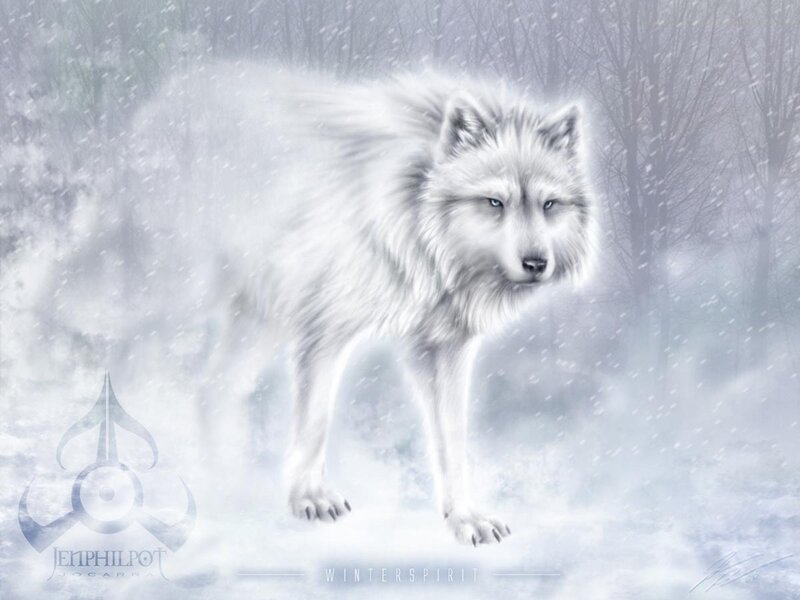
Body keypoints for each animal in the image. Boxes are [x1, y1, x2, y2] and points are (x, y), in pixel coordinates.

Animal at [113, 64, 597, 546]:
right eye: (495, 202)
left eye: (549, 204)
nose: (536, 263)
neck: (415, 227)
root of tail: (162, 99)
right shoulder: (324, 330)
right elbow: (315, 423)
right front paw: (309, 498)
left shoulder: (444, 348)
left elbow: (453, 441)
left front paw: (464, 519)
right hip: (177, 293)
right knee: (122, 346)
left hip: (261, 318)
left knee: (212, 388)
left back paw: (226, 486)